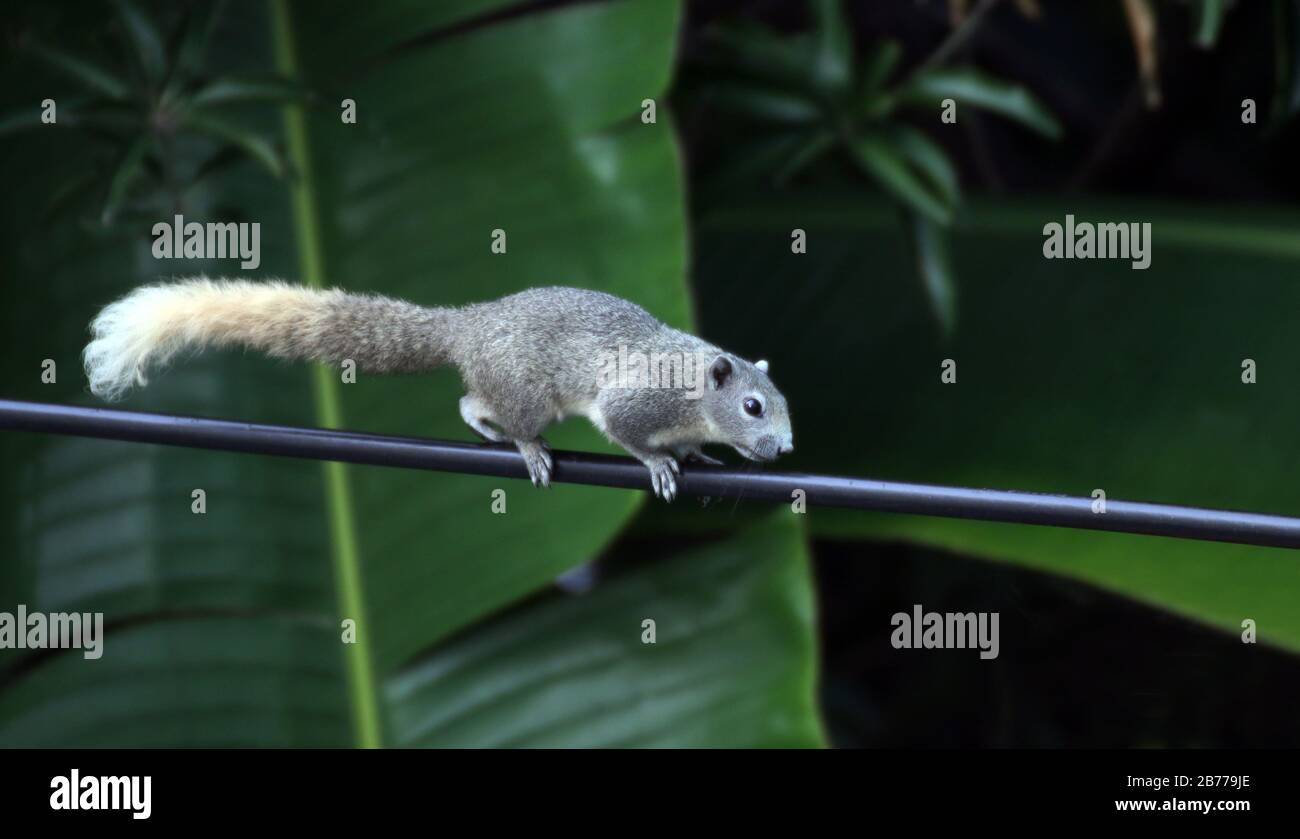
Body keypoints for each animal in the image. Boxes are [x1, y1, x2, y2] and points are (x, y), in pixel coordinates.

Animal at [82, 279, 793, 501]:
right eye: (753, 406)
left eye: (784, 406)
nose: (783, 449)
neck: (696, 393)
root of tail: (467, 327)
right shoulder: (638, 398)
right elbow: (625, 432)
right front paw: (659, 463)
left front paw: (698, 454)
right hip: (526, 392)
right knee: (485, 406)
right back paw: (521, 445)